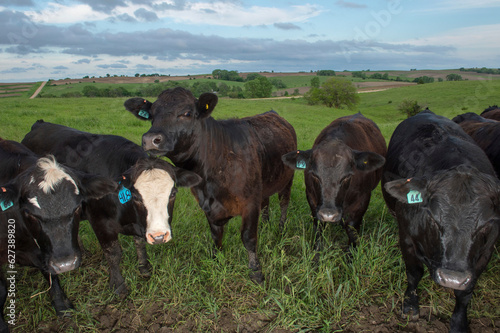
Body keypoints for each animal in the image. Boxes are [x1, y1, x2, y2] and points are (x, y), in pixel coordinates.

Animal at [0, 137, 115, 330]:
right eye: (30, 213)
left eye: (77, 207)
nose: (66, 264)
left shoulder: (44, 252)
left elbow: (50, 274)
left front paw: (62, 307)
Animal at [21, 120, 201, 296]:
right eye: (136, 196)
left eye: (173, 194)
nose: (159, 236)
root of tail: (40, 124)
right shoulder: (100, 222)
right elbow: (113, 253)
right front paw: (118, 286)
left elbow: (139, 243)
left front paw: (144, 268)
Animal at [124, 87, 296, 282]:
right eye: (152, 114)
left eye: (187, 113)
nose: (150, 139)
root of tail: (273, 113)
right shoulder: (208, 205)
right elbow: (216, 235)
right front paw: (216, 260)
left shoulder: (250, 203)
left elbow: (248, 237)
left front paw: (256, 272)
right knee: (266, 202)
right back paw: (266, 224)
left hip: (287, 178)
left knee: (284, 202)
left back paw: (281, 227)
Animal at [282, 113, 386, 250]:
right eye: (314, 175)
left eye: (347, 176)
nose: (329, 215)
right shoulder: (311, 196)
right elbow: (318, 225)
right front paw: (316, 251)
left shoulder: (362, 199)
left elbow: (352, 229)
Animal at [382, 109, 500, 332]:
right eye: (433, 217)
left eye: (486, 223)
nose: (452, 278)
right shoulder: (406, 237)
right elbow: (414, 273)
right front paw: (410, 306)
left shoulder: (486, 252)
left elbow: (465, 292)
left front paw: (459, 323)